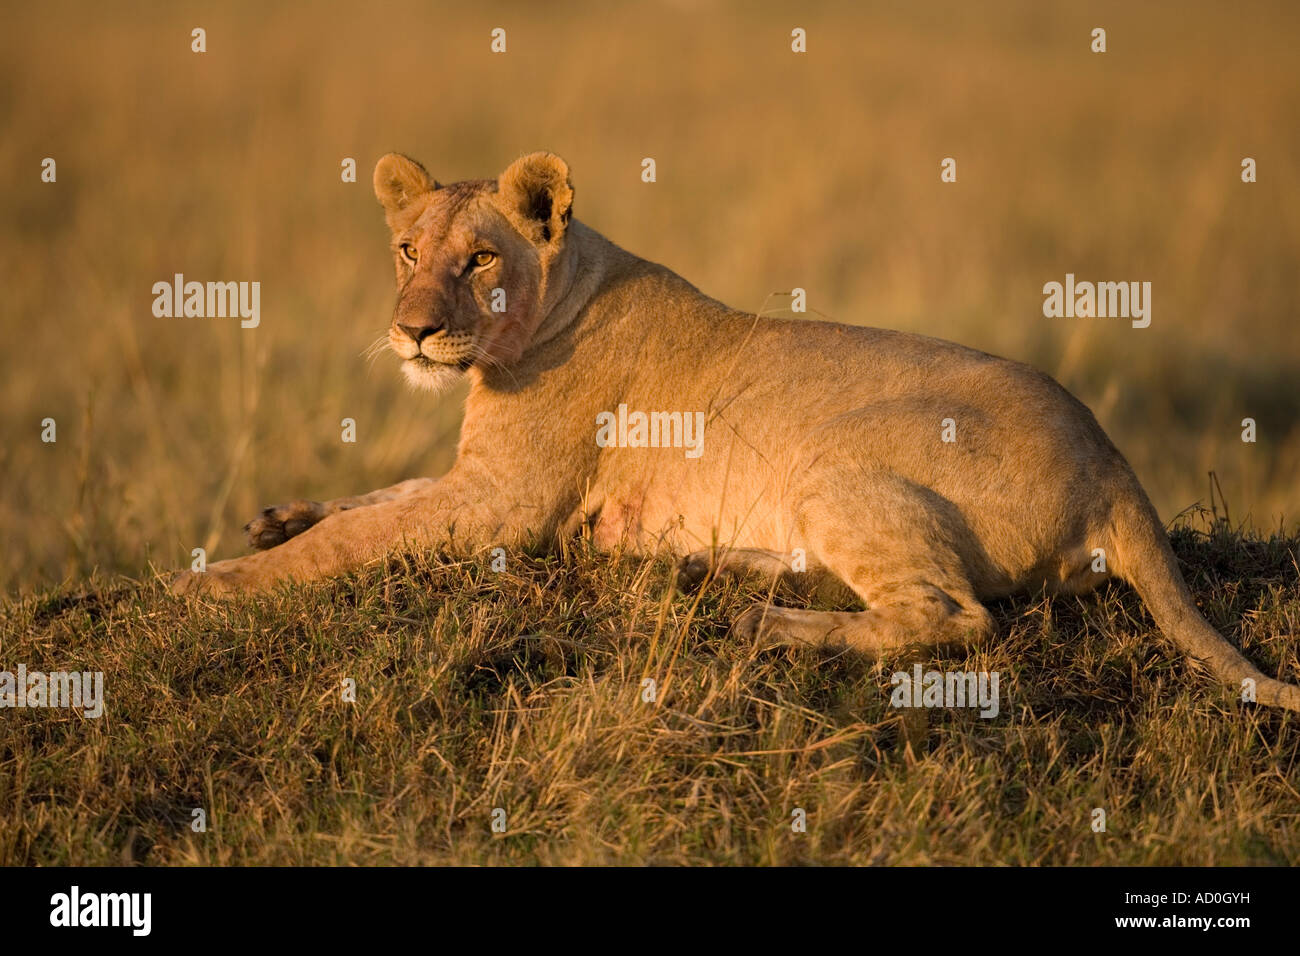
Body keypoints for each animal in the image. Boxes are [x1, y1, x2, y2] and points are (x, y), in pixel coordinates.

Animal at [171, 150, 1300, 712]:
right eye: (407, 248)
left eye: (480, 259)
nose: (412, 328)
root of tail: (1116, 466)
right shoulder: (470, 482)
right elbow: (376, 499)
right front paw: (278, 517)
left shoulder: (507, 504)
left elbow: (358, 536)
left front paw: (219, 583)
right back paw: (725, 570)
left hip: (834, 468)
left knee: (957, 618)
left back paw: (772, 623)